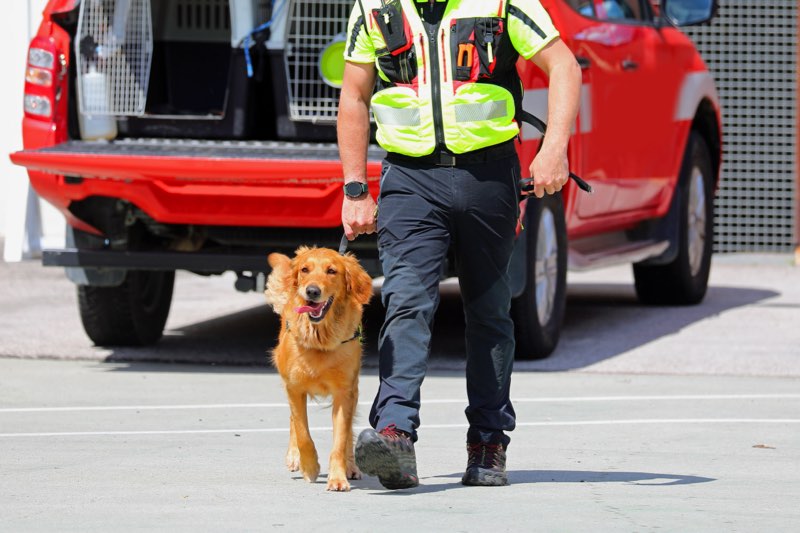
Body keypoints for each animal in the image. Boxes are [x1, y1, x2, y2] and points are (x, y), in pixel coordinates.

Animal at [265, 246, 373, 491]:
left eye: (331, 271)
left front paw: (338, 477)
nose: (312, 291)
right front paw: (309, 466)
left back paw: (351, 466)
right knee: (293, 422)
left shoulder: (344, 392)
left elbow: (341, 439)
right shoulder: (295, 388)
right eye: (305, 270)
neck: (320, 337)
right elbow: (302, 432)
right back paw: (294, 457)